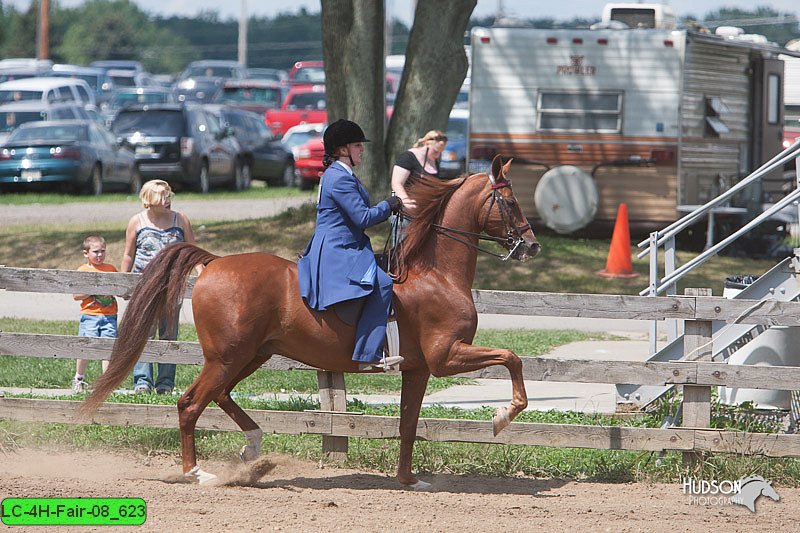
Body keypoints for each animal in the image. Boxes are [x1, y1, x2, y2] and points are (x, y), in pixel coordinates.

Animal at [81, 153, 540, 486]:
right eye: (511, 201)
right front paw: (502, 417)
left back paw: (253, 451)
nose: (532, 246)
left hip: (251, 355)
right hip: (228, 357)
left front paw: (409, 480)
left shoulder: (420, 369)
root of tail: (214, 262)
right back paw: (199, 473)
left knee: (221, 395)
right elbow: (512, 358)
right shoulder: (447, 356)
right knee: (191, 403)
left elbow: (409, 424)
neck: (436, 275)